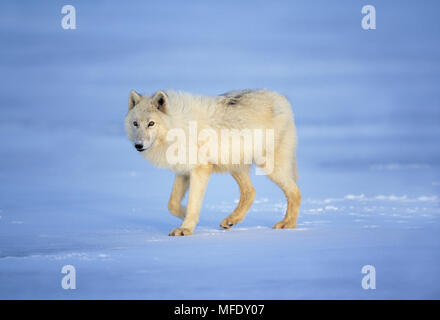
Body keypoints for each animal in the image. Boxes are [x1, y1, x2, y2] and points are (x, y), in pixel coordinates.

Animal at [125, 89, 300, 236]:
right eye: (135, 124)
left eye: (151, 123)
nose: (138, 145)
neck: (178, 127)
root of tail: (282, 98)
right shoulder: (183, 171)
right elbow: (172, 204)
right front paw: (186, 216)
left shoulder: (200, 169)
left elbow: (193, 202)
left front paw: (185, 228)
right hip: (235, 166)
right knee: (250, 192)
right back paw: (231, 220)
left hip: (269, 167)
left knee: (295, 192)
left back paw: (288, 224)